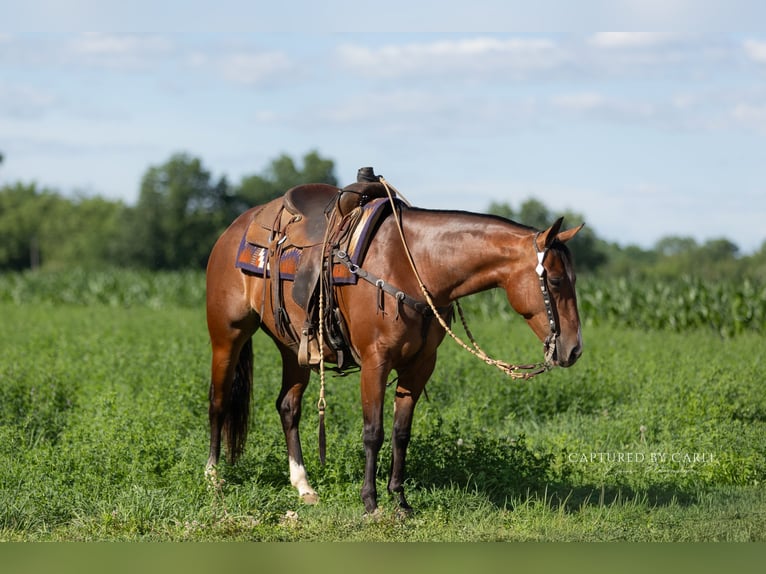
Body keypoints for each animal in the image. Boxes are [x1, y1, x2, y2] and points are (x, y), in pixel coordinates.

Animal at [205, 174, 584, 514]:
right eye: (554, 280)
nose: (574, 349)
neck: (411, 264)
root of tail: (234, 229)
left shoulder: (420, 364)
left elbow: (402, 433)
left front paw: (400, 500)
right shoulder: (376, 362)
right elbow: (373, 431)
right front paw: (370, 502)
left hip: (294, 346)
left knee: (287, 406)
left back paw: (304, 486)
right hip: (227, 335)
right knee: (219, 400)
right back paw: (213, 477)